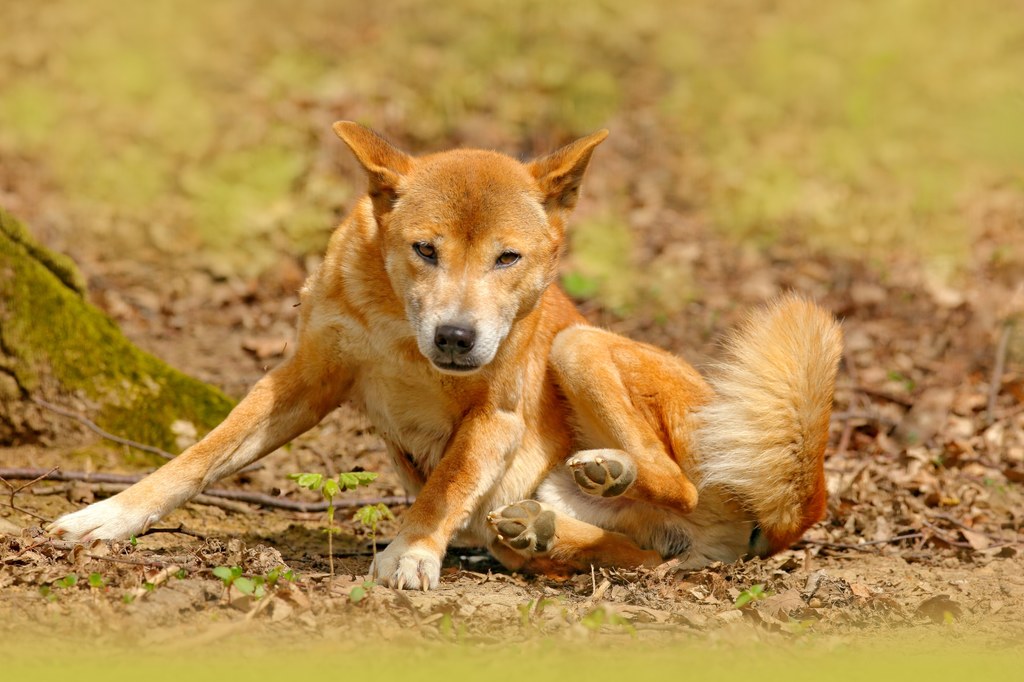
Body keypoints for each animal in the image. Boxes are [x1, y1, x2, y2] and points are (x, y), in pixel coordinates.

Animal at [48, 123, 839, 589]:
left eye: (507, 257)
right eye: (424, 249)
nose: (457, 337)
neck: (400, 331)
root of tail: (796, 505)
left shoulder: (495, 416)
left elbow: (444, 483)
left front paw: (412, 551)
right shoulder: (304, 378)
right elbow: (200, 457)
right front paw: (110, 516)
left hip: (578, 345)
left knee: (674, 483)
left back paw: (604, 474)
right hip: (592, 503)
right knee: (636, 551)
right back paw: (548, 523)